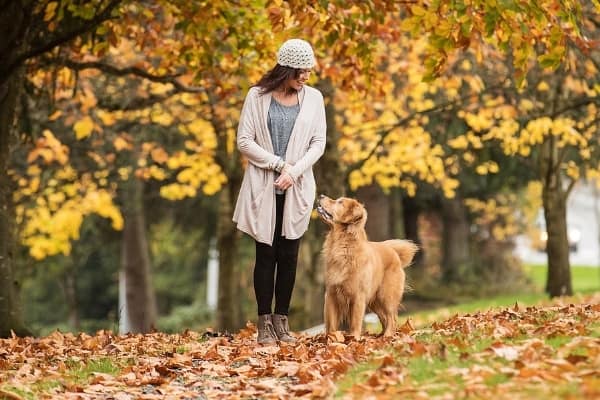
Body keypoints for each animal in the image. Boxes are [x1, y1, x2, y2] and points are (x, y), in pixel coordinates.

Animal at [316, 195, 414, 338]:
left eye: (340, 202)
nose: (321, 196)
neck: (343, 245)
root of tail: (393, 250)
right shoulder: (331, 294)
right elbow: (331, 323)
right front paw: (332, 339)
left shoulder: (358, 296)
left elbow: (355, 322)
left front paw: (354, 338)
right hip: (375, 301)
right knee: (384, 317)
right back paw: (381, 336)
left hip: (386, 295)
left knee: (392, 317)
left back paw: (387, 336)